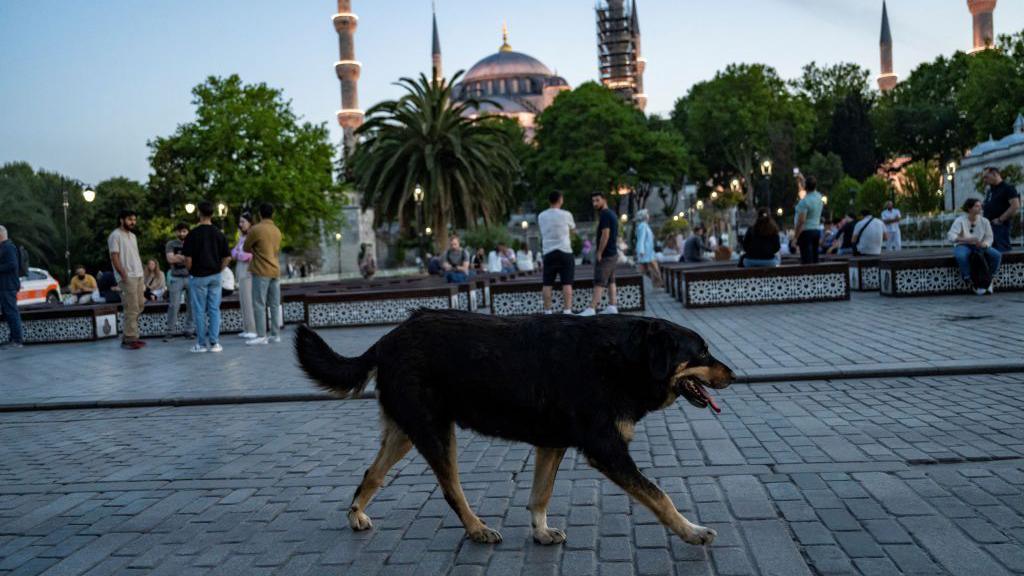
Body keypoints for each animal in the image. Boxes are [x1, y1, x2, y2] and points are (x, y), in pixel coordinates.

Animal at [296, 309, 737, 545]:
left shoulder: (552, 443)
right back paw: (477, 529)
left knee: (371, 474)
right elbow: (660, 496)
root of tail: (387, 338)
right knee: (451, 489)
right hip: (436, 433)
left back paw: (356, 514)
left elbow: (540, 495)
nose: (733, 374)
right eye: (702, 353)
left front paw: (540, 533)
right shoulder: (607, 449)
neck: (624, 357)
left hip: (405, 432)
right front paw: (691, 531)